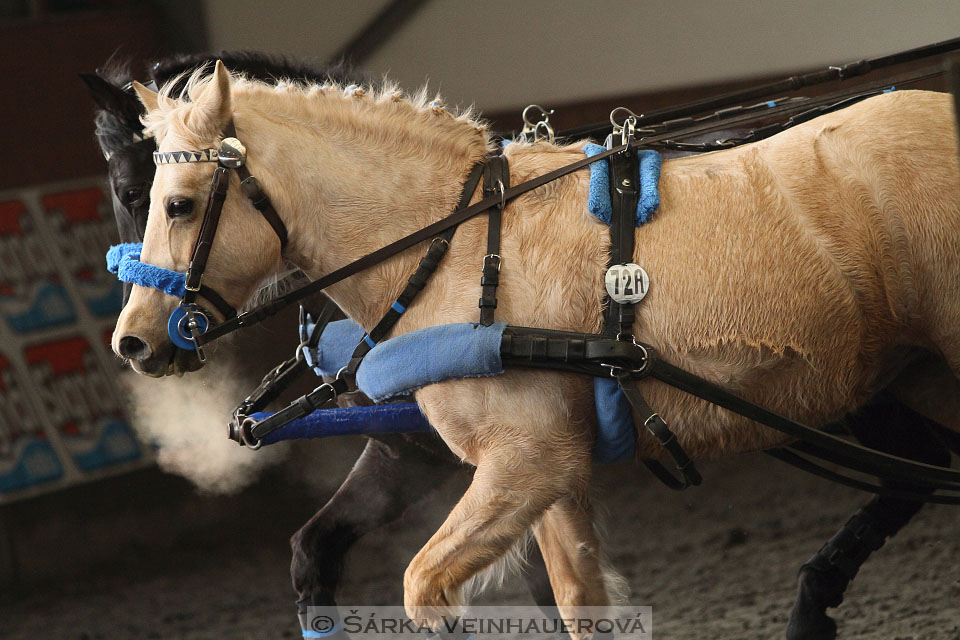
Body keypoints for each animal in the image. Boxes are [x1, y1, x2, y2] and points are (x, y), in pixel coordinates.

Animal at [86, 51, 956, 640]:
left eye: (175, 201)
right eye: (136, 195)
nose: (133, 342)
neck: (457, 244)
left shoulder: (523, 461)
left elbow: (425, 587)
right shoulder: (552, 471)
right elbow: (575, 603)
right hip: (914, 376)